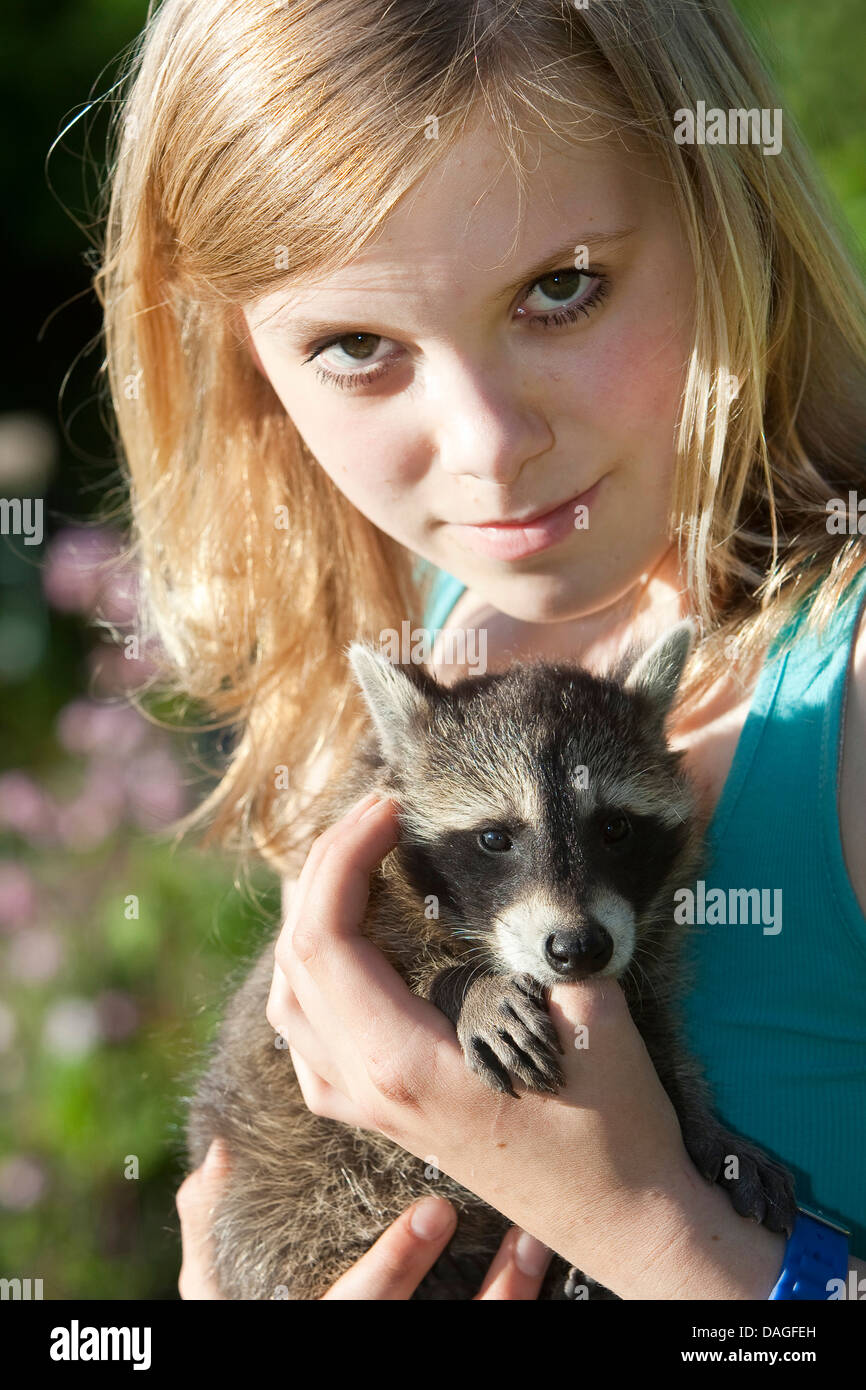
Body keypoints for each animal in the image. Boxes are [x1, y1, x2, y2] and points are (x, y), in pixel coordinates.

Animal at [186, 625, 795, 1295]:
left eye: (614, 828)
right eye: (495, 838)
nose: (579, 949)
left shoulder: (645, 955)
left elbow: (660, 1034)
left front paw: (705, 1128)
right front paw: (466, 986)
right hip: (288, 1203)